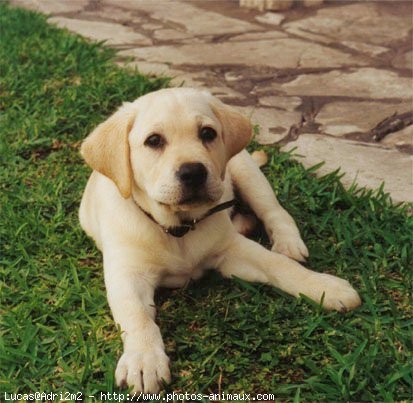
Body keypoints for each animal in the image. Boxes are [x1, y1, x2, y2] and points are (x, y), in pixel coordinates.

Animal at [79, 87, 358, 392]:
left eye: (207, 133)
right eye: (153, 140)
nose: (193, 172)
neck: (178, 229)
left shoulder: (232, 249)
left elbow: (278, 265)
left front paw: (324, 287)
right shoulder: (127, 274)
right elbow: (136, 315)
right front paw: (143, 360)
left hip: (246, 172)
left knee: (274, 212)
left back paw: (287, 243)